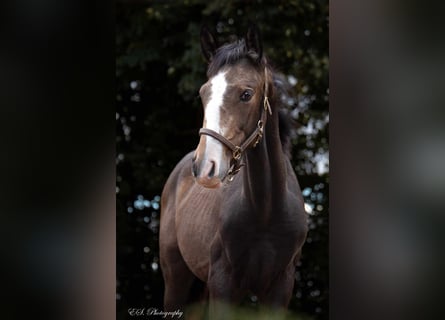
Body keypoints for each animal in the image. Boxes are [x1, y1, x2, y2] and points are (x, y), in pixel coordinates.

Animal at [158, 25, 306, 318]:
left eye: (246, 94)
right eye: (203, 93)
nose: (205, 166)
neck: (266, 211)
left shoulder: (280, 289)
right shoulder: (223, 285)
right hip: (177, 280)